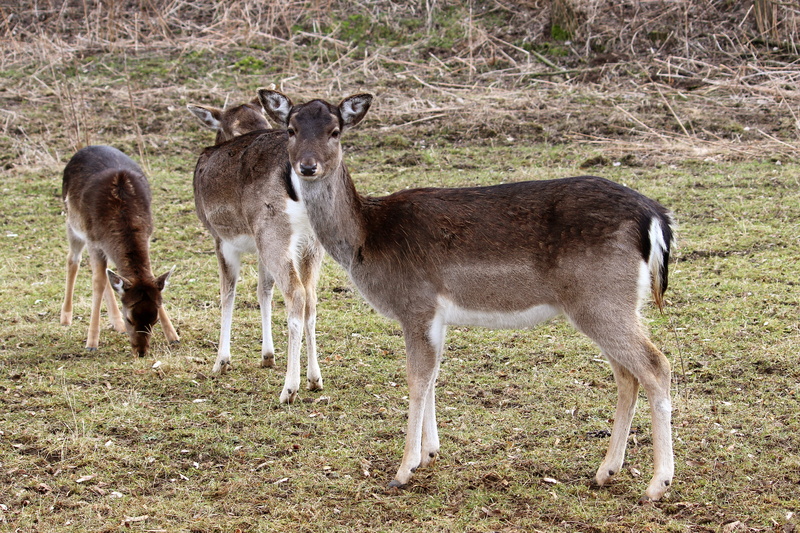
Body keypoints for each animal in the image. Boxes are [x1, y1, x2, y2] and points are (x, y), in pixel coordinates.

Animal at [60, 145, 179, 357]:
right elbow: (97, 282)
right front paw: (91, 342)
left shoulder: (147, 235)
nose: (141, 352)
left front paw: (173, 336)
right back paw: (66, 317)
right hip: (72, 222)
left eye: (155, 320)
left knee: (107, 273)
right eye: (130, 318)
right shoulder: (93, 240)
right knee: (73, 260)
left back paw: (116, 324)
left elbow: (147, 276)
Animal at [188, 97, 324, 404]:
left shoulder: (221, 238)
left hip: (273, 231)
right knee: (311, 296)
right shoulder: (260, 247)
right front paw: (267, 356)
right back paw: (314, 379)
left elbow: (228, 294)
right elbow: (264, 292)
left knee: (296, 294)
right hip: (310, 241)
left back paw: (289, 388)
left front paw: (221, 361)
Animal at [259, 88, 677, 502]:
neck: (367, 238)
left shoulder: (416, 303)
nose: (307, 166)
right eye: (292, 129)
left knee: (656, 366)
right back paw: (606, 471)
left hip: (601, 299)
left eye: (335, 131)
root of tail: (656, 217)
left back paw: (657, 484)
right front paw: (429, 454)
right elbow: (433, 376)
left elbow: (416, 379)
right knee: (627, 375)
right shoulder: (436, 315)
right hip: (612, 303)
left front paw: (403, 469)